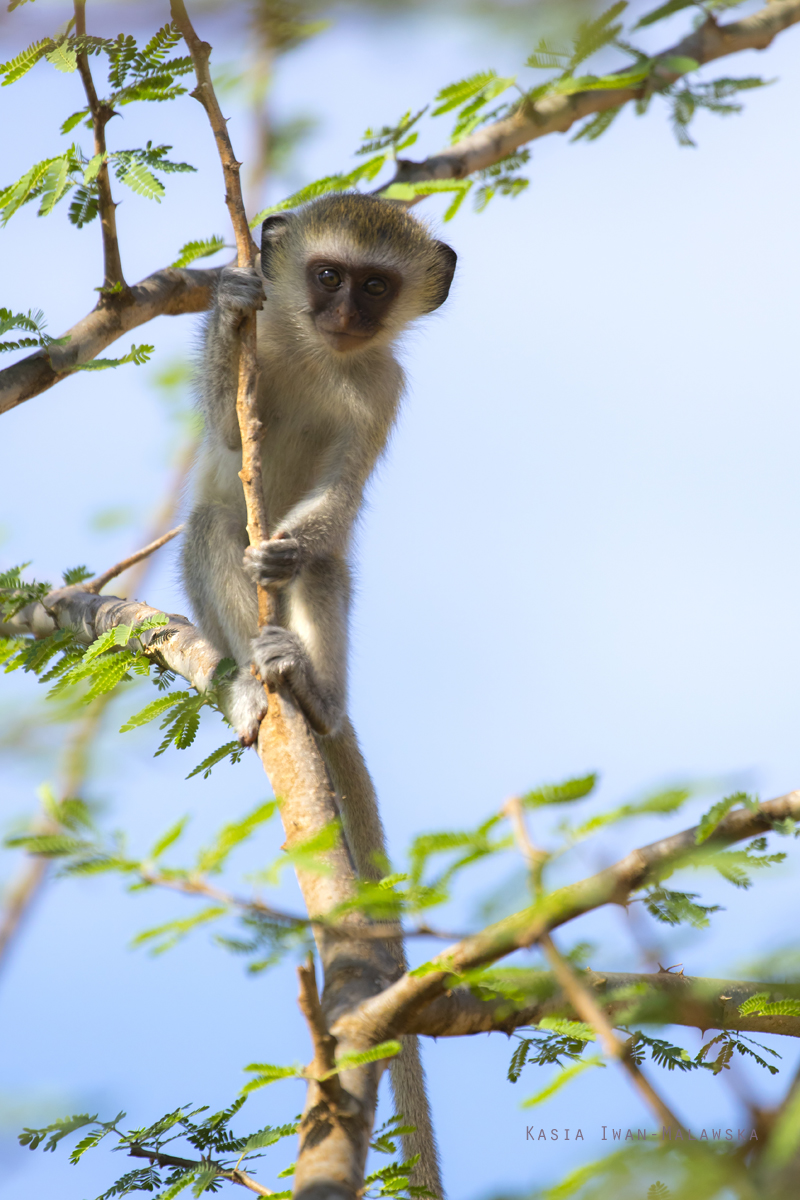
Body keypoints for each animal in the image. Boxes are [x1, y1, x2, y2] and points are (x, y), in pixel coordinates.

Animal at [181, 192, 455, 1195]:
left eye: (373, 287)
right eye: (327, 274)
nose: (343, 314)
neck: (319, 355)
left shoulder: (384, 386)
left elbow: (335, 505)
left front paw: (290, 549)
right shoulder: (262, 366)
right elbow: (231, 440)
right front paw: (226, 303)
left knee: (325, 565)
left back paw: (309, 685)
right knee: (212, 522)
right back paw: (253, 690)